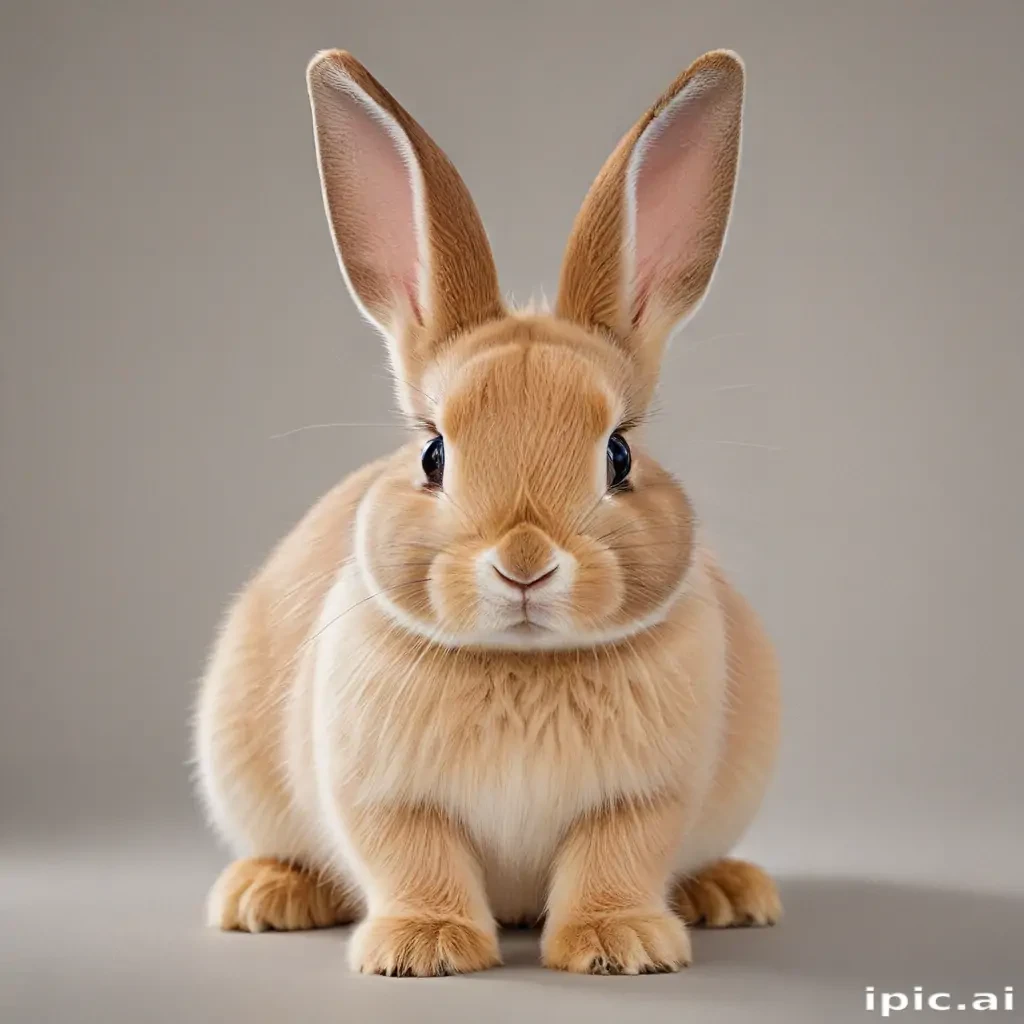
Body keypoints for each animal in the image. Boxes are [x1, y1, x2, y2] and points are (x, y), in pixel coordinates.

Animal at [194, 47, 781, 977]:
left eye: (619, 456)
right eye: (433, 454)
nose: (525, 563)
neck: (522, 661)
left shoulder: (644, 798)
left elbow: (615, 860)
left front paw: (619, 945)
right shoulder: (386, 797)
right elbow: (414, 858)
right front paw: (424, 949)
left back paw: (730, 893)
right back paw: (264, 897)